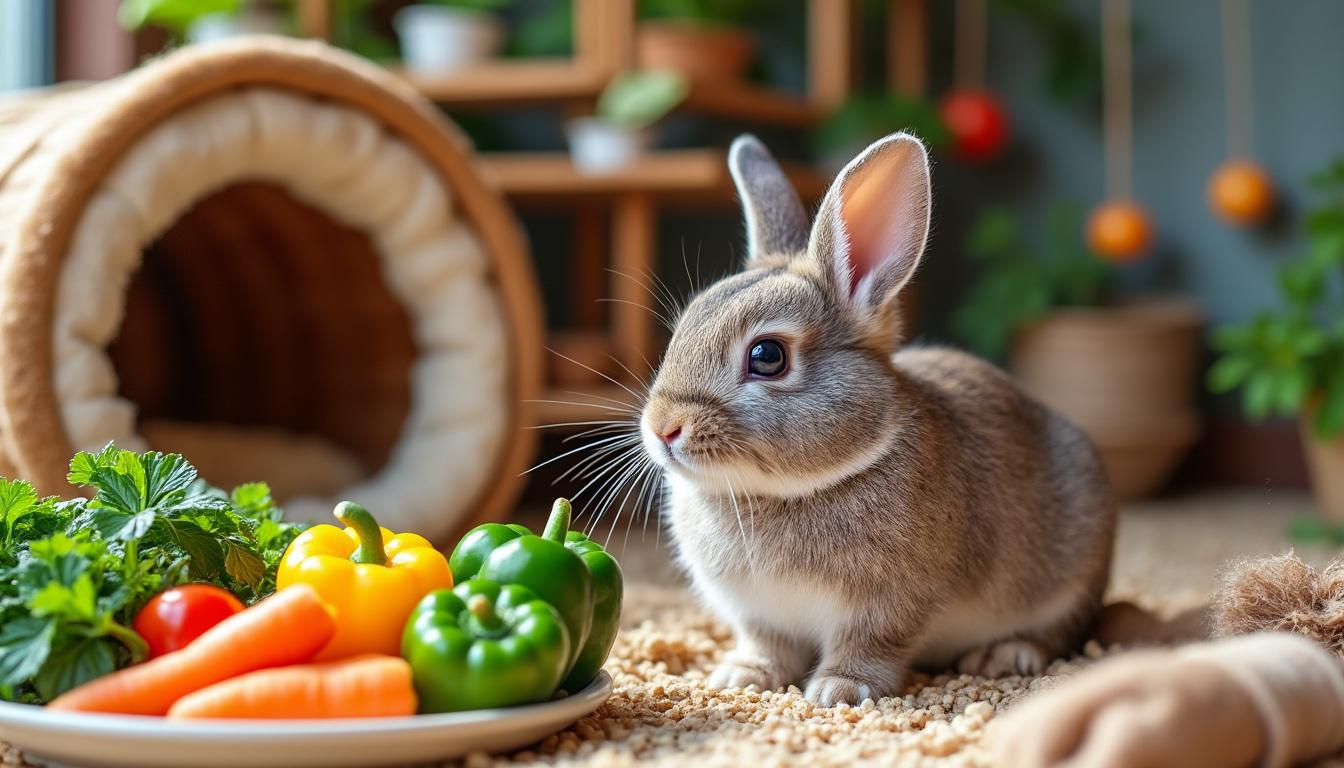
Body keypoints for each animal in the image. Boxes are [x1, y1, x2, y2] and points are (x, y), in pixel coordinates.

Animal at [637, 133, 1116, 706]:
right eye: (684, 327)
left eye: (767, 356)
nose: (662, 427)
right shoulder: (759, 614)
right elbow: (765, 643)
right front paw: (741, 676)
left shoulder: (888, 607)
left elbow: (871, 644)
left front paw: (838, 690)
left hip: (1072, 570)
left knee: (1059, 630)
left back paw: (1004, 655)